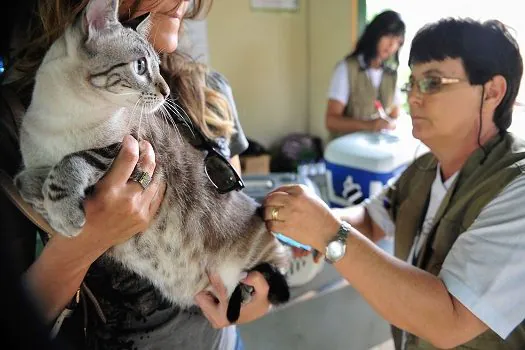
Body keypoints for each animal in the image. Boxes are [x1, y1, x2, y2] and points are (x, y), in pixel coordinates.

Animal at [14, 0, 290, 318]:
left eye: (158, 67)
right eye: (140, 66)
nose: (167, 91)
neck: (65, 118)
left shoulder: (130, 148)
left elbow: (73, 160)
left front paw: (64, 212)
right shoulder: (34, 168)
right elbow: (25, 182)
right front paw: (47, 198)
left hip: (262, 260)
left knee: (274, 276)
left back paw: (246, 291)